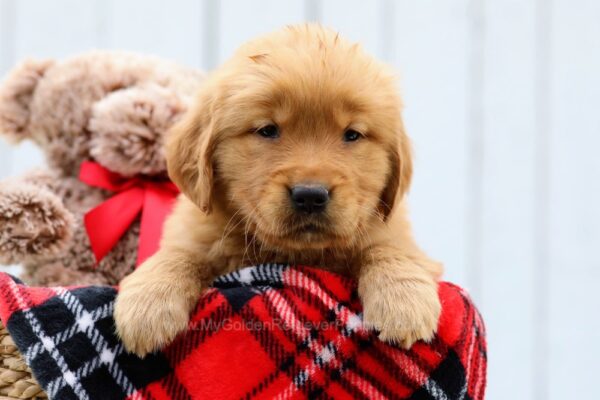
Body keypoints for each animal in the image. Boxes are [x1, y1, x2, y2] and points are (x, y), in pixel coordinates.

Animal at [113, 24, 440, 356]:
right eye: (267, 130)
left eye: (352, 135)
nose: (310, 196)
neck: (294, 254)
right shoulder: (197, 231)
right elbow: (180, 253)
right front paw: (149, 302)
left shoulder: (391, 231)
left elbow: (390, 249)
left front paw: (403, 301)